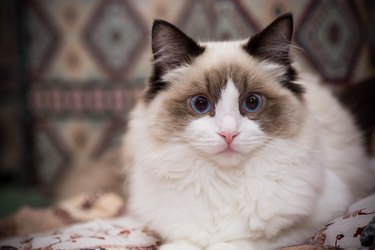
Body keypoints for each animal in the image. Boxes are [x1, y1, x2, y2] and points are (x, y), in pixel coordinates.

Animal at [124, 13, 375, 250]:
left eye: (252, 103)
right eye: (200, 104)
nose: (228, 134)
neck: (224, 183)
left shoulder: (315, 219)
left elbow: (247, 240)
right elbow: (186, 241)